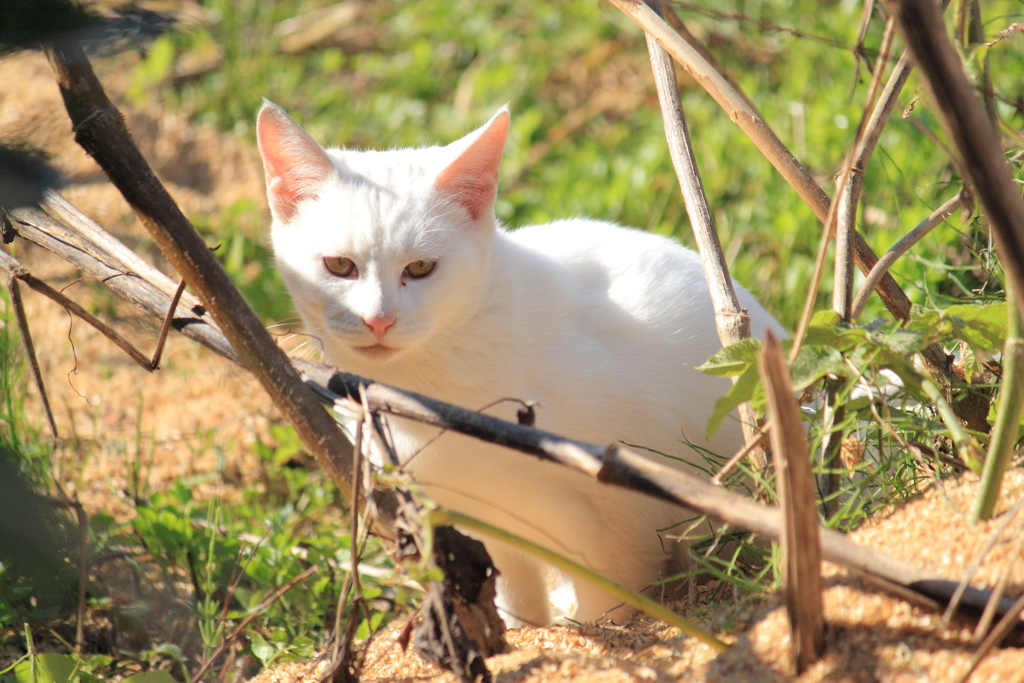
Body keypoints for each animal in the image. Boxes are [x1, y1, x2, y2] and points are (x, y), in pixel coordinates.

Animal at [258, 100, 782, 626]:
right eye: (339, 266)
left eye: (421, 268)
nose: (378, 320)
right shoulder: (485, 524)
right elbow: (517, 603)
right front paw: (522, 630)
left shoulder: (616, 520)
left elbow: (611, 602)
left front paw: (591, 628)